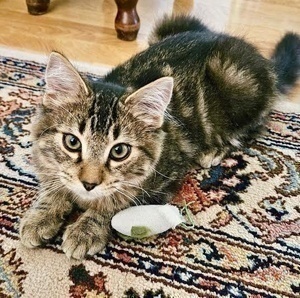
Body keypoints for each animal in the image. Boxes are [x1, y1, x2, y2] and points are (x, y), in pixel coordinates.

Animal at [19, 15, 300, 260]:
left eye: (119, 151)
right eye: (72, 142)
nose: (89, 184)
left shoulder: (166, 175)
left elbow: (114, 201)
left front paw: (86, 229)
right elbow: (52, 185)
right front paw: (40, 216)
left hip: (235, 83)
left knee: (256, 124)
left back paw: (215, 149)